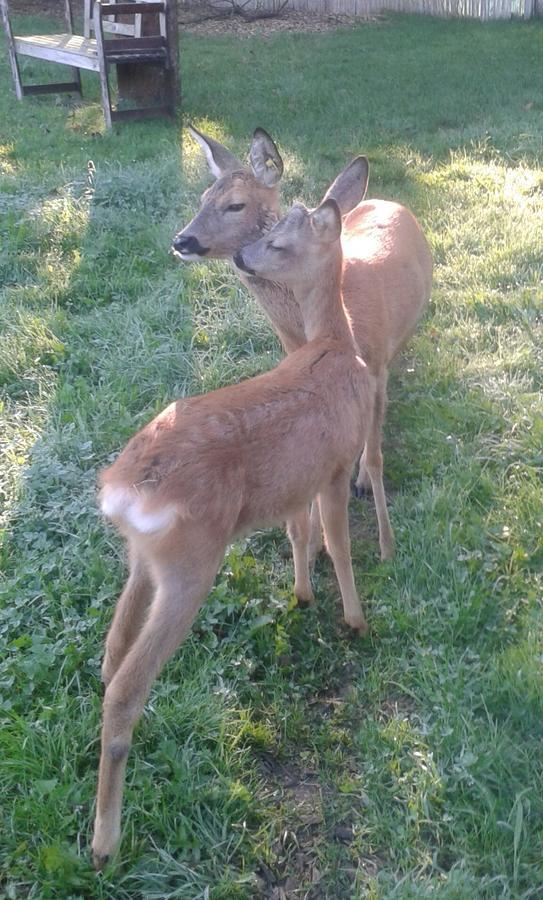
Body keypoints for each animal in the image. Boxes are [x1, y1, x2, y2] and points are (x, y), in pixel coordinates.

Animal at [91, 193, 376, 868]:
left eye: (280, 240)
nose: (243, 257)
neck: (334, 344)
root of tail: (126, 487)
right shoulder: (334, 464)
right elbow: (337, 542)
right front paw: (355, 621)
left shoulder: (297, 484)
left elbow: (300, 535)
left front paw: (302, 596)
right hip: (192, 564)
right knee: (126, 689)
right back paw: (104, 844)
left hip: (144, 561)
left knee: (110, 658)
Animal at [173, 126, 434, 564]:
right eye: (203, 198)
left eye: (235, 205)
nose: (182, 241)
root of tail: (387, 200)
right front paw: (312, 545)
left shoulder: (376, 365)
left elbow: (373, 449)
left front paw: (366, 502)